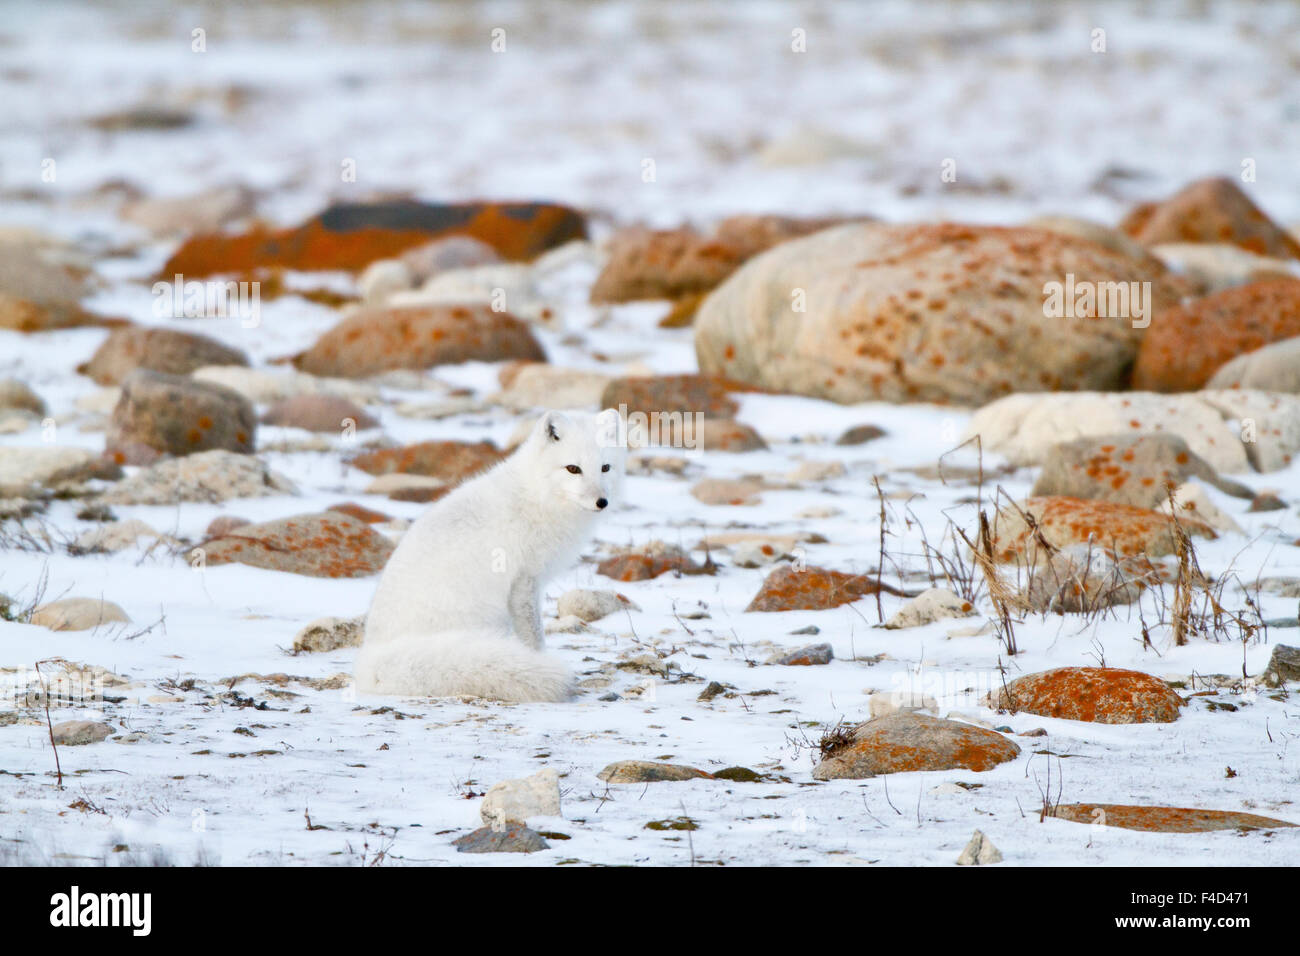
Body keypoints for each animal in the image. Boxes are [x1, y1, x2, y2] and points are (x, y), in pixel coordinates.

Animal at [353, 408, 621, 702]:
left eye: (605, 468)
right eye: (573, 469)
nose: (602, 502)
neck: (538, 497)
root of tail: (371, 661)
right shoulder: (525, 581)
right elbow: (534, 634)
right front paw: (539, 659)